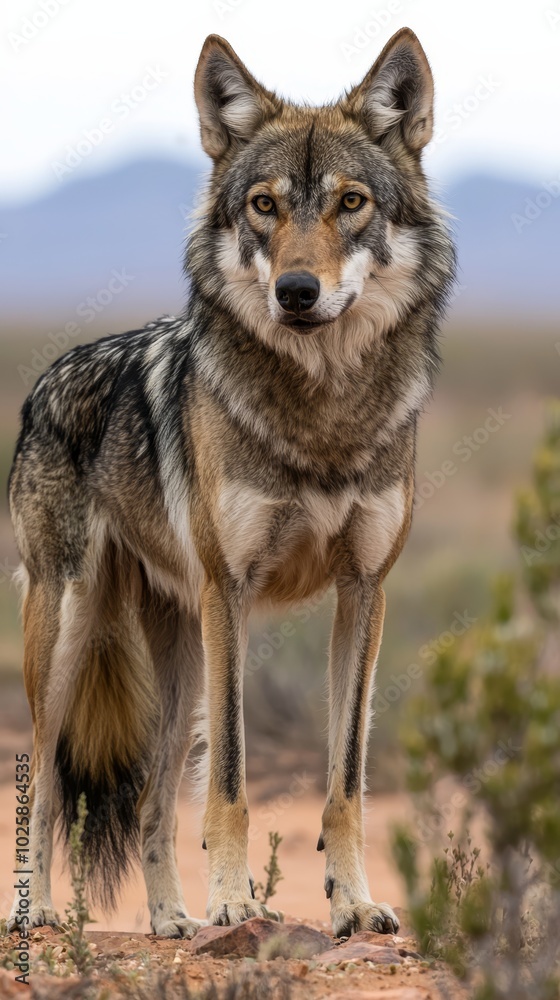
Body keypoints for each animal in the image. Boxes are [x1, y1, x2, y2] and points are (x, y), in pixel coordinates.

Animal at [7, 28, 455, 938]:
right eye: (264, 206)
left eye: (350, 203)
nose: (296, 291)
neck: (322, 413)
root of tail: (45, 382)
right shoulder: (232, 590)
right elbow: (232, 783)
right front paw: (232, 901)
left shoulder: (364, 591)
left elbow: (345, 783)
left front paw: (354, 903)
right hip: (68, 636)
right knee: (44, 782)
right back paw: (37, 919)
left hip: (174, 661)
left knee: (149, 803)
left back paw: (171, 922)